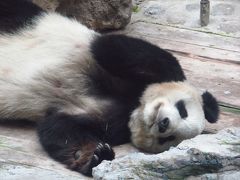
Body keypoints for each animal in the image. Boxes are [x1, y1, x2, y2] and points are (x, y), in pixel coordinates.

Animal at [0, 0, 219, 176]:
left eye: (169, 139)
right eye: (183, 110)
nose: (164, 124)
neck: (134, 104)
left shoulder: (109, 120)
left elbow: (58, 127)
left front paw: (94, 156)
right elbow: (110, 47)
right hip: (22, 20)